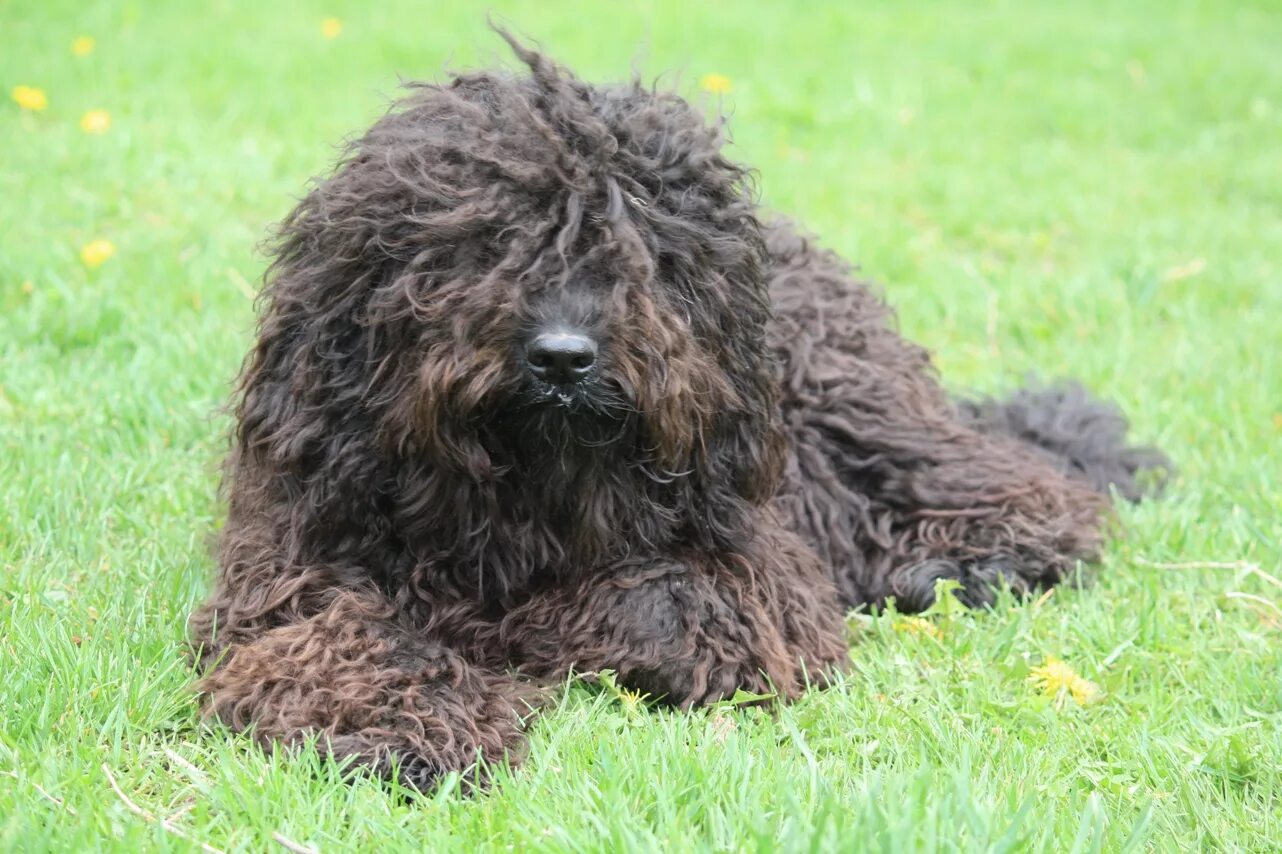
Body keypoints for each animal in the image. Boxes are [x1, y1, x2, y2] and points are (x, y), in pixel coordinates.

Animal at [189, 33, 1174, 789]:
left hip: (860, 420)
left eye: (639, 251)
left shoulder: (757, 569)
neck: (532, 499)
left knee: (1027, 492)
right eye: (479, 243)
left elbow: (667, 602)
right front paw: (406, 722)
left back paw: (970, 559)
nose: (563, 358)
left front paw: (516, 633)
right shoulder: (298, 560)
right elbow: (338, 635)